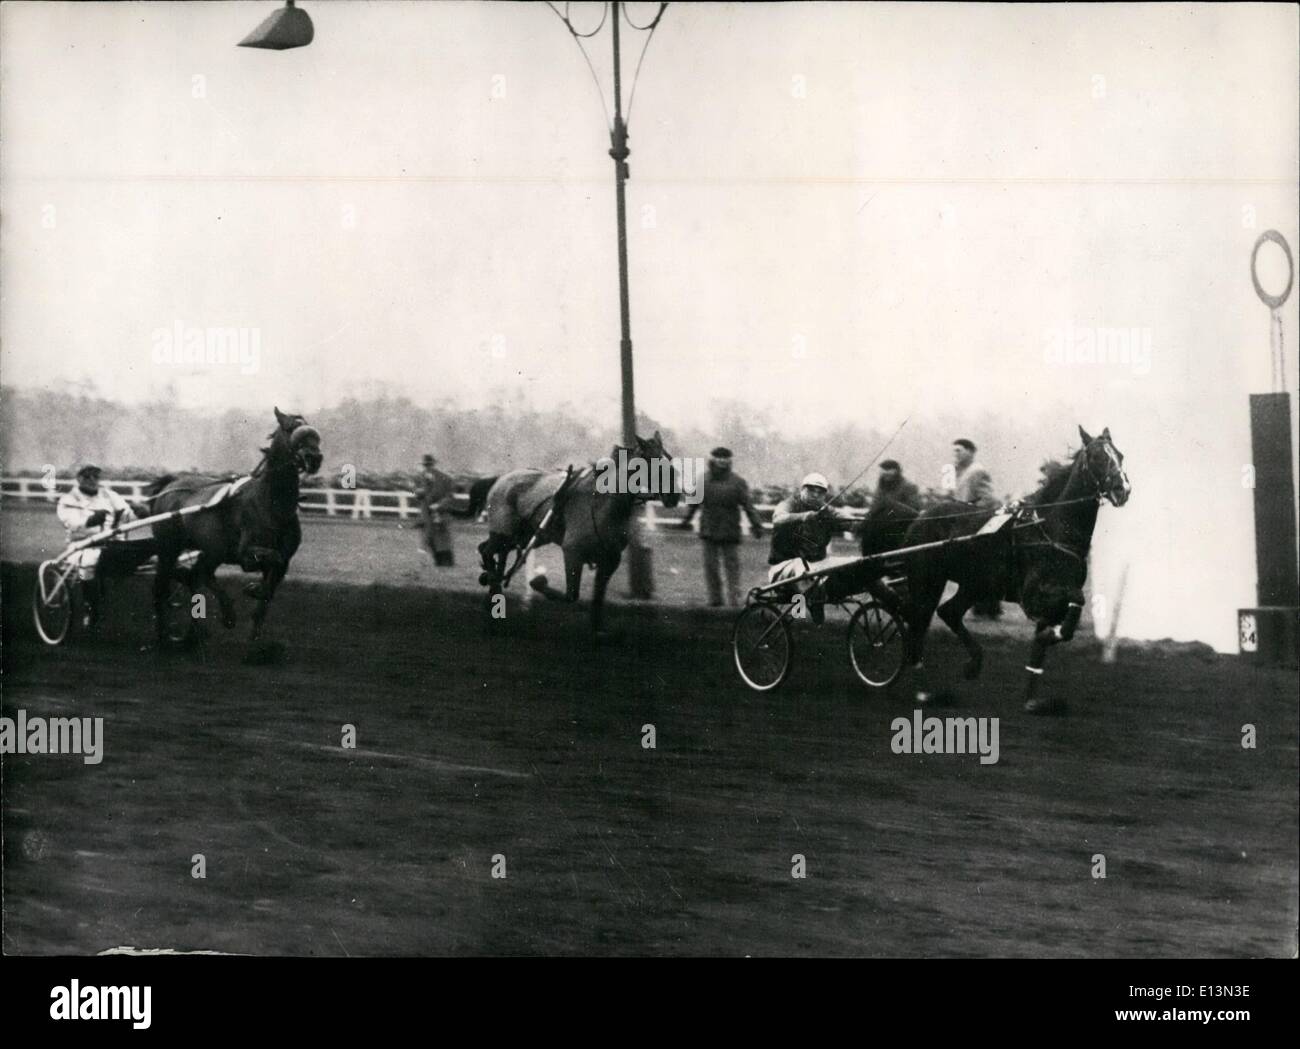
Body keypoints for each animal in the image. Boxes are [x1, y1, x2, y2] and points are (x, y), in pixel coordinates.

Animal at [143, 408, 322, 647]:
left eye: (314, 434)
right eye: (291, 428)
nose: (315, 458)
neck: (271, 504)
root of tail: (170, 484)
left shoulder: (284, 560)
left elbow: (268, 593)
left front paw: (255, 638)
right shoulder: (246, 553)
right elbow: (270, 559)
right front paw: (253, 589)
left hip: (212, 551)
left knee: (198, 575)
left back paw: (199, 629)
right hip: (169, 548)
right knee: (164, 585)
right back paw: (167, 635)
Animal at [475, 431, 681, 636]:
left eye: (669, 461)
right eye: (653, 461)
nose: (674, 495)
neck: (603, 505)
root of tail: (500, 479)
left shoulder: (610, 560)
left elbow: (597, 600)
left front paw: (597, 630)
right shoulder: (573, 553)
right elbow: (571, 595)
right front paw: (538, 582)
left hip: (522, 537)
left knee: (491, 552)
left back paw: (493, 597)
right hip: (503, 534)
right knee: (487, 551)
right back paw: (492, 582)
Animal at [894, 423, 1128, 712]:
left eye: (1120, 455)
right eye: (1097, 457)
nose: (1123, 489)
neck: (1050, 528)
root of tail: (920, 515)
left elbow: (1041, 651)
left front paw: (1032, 702)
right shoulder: (1035, 594)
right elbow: (1076, 602)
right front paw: (1052, 634)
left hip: (975, 585)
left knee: (948, 612)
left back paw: (973, 664)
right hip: (927, 581)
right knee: (919, 624)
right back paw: (924, 692)